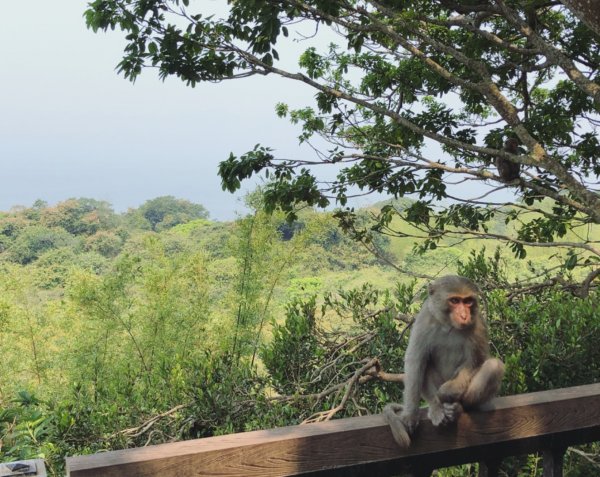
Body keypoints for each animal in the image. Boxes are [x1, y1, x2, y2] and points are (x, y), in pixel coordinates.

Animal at [382, 276, 504, 446]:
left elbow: (476, 361)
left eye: (468, 301)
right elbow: (416, 360)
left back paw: (459, 408)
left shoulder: (478, 324)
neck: (449, 325)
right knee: (425, 364)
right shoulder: (423, 320)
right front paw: (411, 414)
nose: (464, 315)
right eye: (454, 300)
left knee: (493, 366)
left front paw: (448, 391)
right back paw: (436, 407)